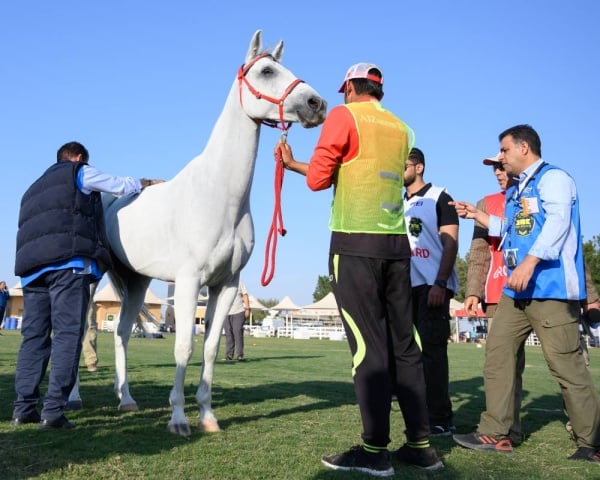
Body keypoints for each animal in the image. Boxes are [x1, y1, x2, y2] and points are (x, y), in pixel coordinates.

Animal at [99, 29, 324, 436]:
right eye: (267, 71)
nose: (317, 103)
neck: (219, 196)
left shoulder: (227, 285)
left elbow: (210, 348)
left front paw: (207, 416)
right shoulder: (189, 283)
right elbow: (184, 347)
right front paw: (178, 419)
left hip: (136, 282)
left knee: (122, 333)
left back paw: (126, 399)